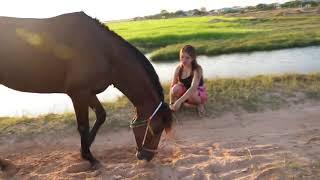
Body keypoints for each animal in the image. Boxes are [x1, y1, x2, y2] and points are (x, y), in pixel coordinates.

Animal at [0, 11, 172, 167]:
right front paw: (90, 157)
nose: (147, 156)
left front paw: (85, 148)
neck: (103, 51)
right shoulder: (78, 93)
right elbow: (83, 126)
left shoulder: (88, 93)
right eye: (156, 129)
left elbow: (101, 115)